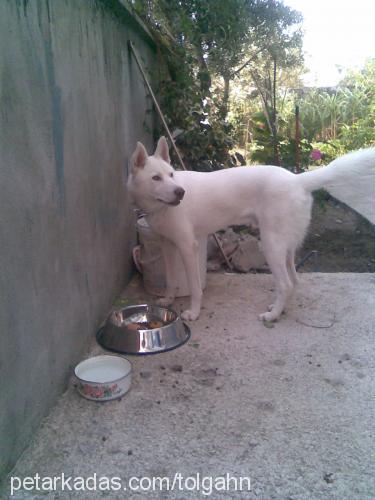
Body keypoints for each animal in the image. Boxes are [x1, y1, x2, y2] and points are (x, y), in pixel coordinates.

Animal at [128, 139, 374, 322]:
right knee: (293, 281)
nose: (180, 192)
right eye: (156, 178)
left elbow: (196, 289)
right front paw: (168, 301)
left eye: (171, 175)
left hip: (271, 245)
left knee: (285, 284)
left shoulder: (188, 247)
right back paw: (279, 309)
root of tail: (297, 179)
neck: (160, 207)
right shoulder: (167, 245)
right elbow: (170, 280)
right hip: (285, 247)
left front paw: (194, 313)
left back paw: (272, 316)